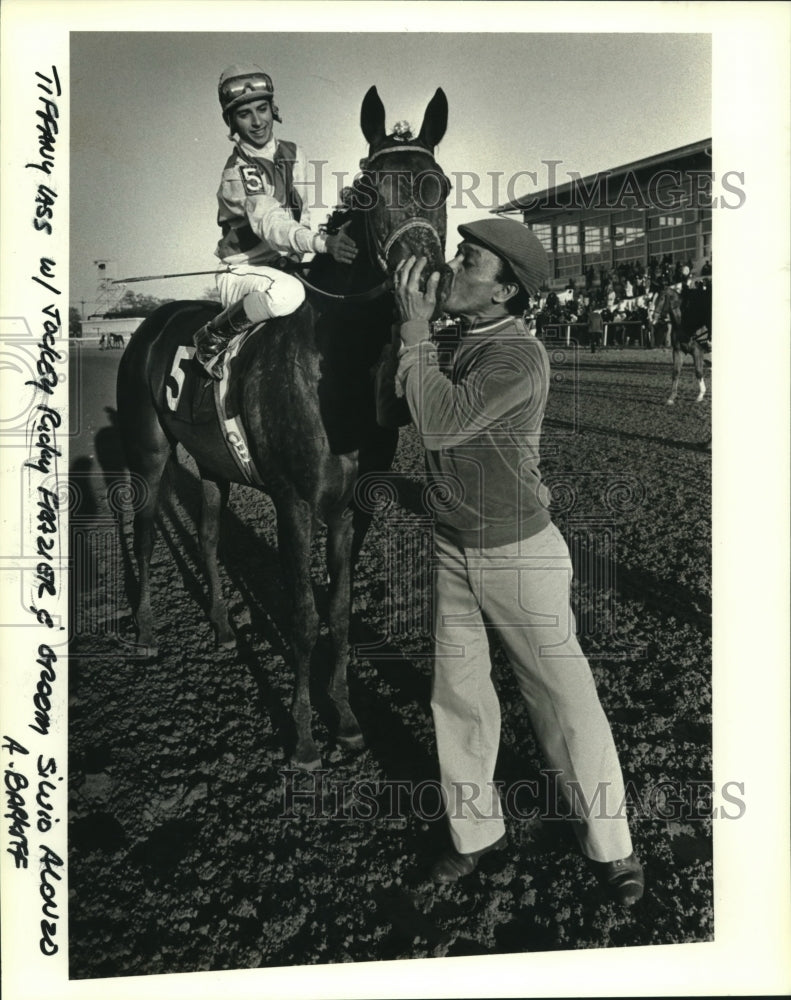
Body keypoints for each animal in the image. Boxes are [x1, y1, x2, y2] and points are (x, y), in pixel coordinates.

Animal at [117, 88, 452, 772]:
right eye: (370, 191)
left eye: (444, 187)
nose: (426, 282)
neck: (336, 369)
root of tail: (151, 321)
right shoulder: (294, 502)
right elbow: (301, 614)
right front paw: (302, 738)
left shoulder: (353, 506)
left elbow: (341, 612)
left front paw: (346, 719)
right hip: (150, 450)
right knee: (145, 533)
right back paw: (144, 634)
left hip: (210, 464)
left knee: (209, 537)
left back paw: (223, 628)